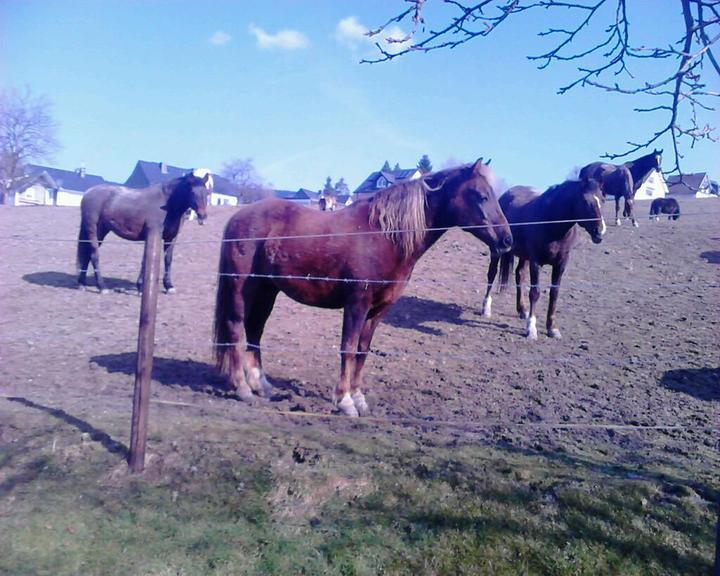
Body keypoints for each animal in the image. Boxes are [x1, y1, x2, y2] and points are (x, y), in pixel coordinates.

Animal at [79, 166, 215, 292]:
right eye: (192, 192)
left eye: (207, 193)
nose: (203, 216)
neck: (168, 203)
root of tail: (88, 192)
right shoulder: (153, 234)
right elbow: (145, 260)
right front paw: (140, 287)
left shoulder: (171, 238)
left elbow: (168, 259)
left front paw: (168, 286)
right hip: (92, 229)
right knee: (94, 255)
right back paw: (102, 287)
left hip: (101, 232)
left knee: (87, 253)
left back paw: (82, 283)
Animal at [214, 160, 512, 416]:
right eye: (480, 195)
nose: (507, 240)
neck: (385, 236)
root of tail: (239, 217)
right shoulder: (357, 304)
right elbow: (347, 348)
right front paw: (345, 401)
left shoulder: (378, 310)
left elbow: (362, 350)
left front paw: (359, 398)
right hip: (242, 288)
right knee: (235, 328)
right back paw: (242, 388)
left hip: (267, 291)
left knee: (255, 330)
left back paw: (261, 386)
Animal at [480, 178, 604, 340]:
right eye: (585, 201)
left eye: (602, 199)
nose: (600, 231)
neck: (552, 223)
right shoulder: (536, 262)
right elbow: (535, 293)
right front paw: (531, 329)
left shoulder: (561, 263)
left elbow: (554, 294)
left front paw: (552, 328)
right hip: (498, 251)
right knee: (492, 273)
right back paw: (486, 308)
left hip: (524, 256)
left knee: (520, 275)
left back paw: (522, 310)